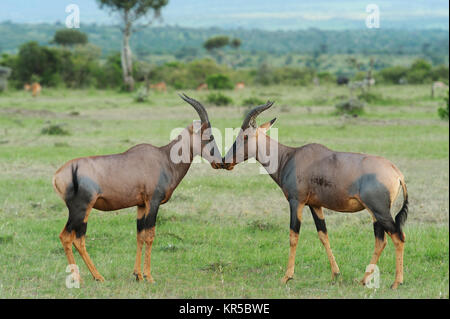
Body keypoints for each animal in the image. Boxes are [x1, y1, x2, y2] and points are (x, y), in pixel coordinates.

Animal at [52, 94, 223, 284]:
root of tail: (58, 175)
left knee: (72, 237)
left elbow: (140, 236)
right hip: (81, 208)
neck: (163, 158)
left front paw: (138, 275)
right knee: (71, 237)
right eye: (209, 136)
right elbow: (150, 235)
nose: (220, 162)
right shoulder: (153, 202)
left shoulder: (141, 205)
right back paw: (90, 277)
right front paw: (149, 277)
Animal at [223, 102, 410, 290]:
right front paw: (335, 274)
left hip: (379, 210)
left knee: (398, 237)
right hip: (374, 213)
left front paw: (286, 277)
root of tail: (397, 173)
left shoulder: (296, 202)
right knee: (381, 241)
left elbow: (293, 236)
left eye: (245, 136)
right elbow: (323, 235)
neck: (290, 157)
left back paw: (396, 282)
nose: (226, 162)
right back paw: (363, 280)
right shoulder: (315, 205)